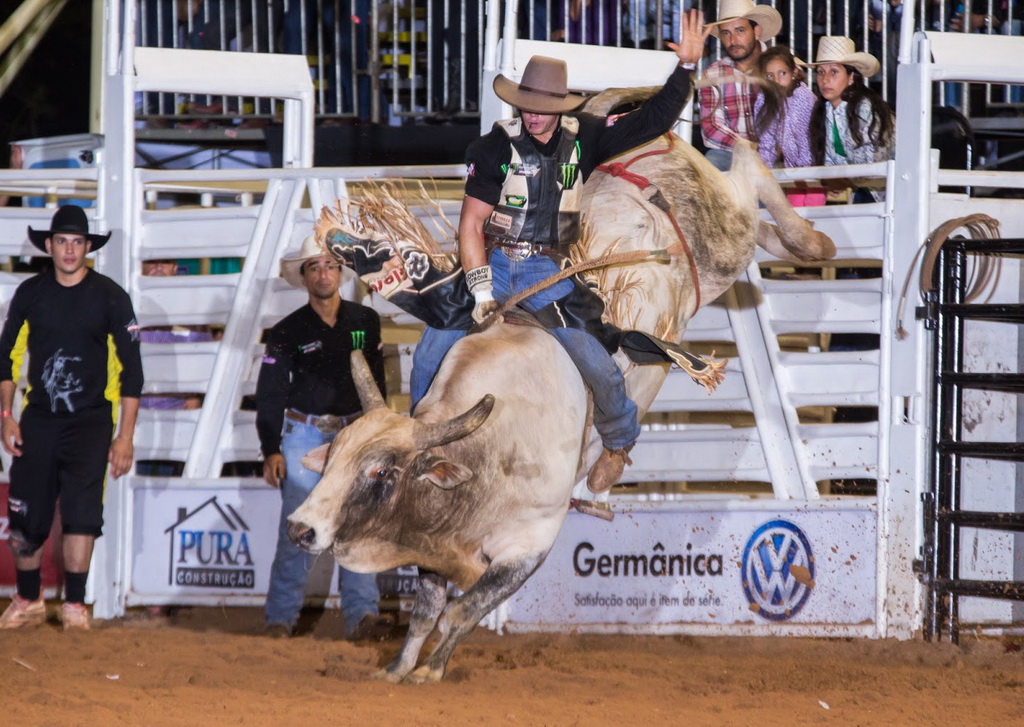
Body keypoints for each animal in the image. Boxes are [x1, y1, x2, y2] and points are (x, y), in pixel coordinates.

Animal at [284, 88, 835, 688]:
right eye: (335, 455)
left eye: (381, 472)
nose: (301, 530)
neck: (484, 450)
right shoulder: (431, 543)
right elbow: (428, 607)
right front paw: (399, 669)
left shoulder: (532, 542)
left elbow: (461, 610)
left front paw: (432, 670)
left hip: (721, 240)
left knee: (748, 171)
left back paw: (811, 237)